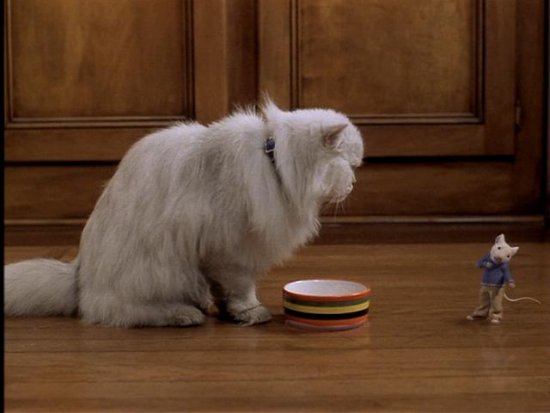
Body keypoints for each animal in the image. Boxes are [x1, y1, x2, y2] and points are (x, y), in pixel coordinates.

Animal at [4, 99, 364, 327]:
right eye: (349, 165)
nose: (354, 183)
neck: (273, 159)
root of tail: (79, 276)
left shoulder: (216, 256)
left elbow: (223, 291)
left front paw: (228, 312)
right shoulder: (232, 250)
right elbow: (241, 289)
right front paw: (250, 312)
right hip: (158, 271)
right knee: (119, 311)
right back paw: (184, 315)